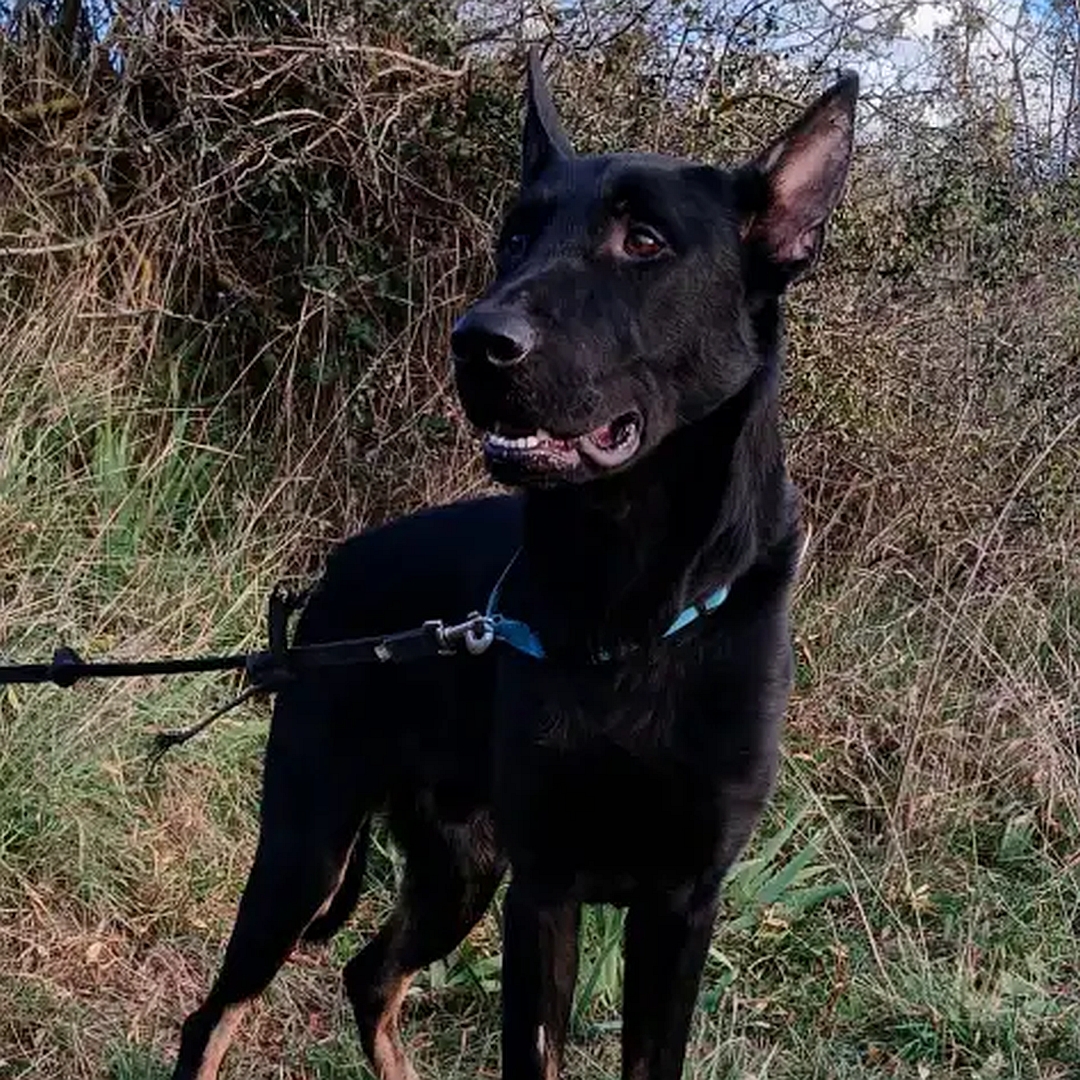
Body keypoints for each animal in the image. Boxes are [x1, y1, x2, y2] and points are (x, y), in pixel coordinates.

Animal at [172, 54, 855, 1080]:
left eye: (643, 240)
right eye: (517, 236)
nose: (475, 342)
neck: (629, 603)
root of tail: (336, 573)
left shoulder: (681, 900)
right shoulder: (546, 885)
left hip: (460, 867)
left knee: (369, 975)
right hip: (310, 847)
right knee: (217, 1013)